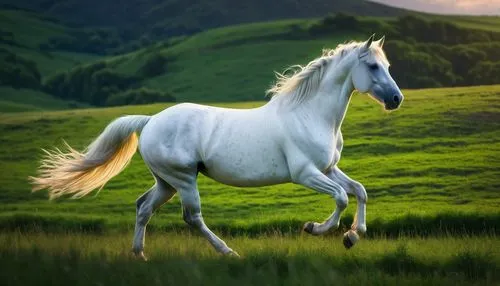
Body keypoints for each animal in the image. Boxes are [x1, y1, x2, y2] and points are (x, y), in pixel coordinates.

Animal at [31, 34, 404, 258]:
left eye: (387, 65)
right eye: (372, 66)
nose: (396, 99)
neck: (309, 114)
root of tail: (150, 121)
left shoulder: (329, 168)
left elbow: (359, 191)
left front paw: (354, 235)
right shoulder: (306, 174)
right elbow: (341, 198)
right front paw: (317, 229)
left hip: (166, 182)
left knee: (143, 207)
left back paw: (140, 255)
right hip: (183, 179)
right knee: (192, 217)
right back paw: (228, 253)